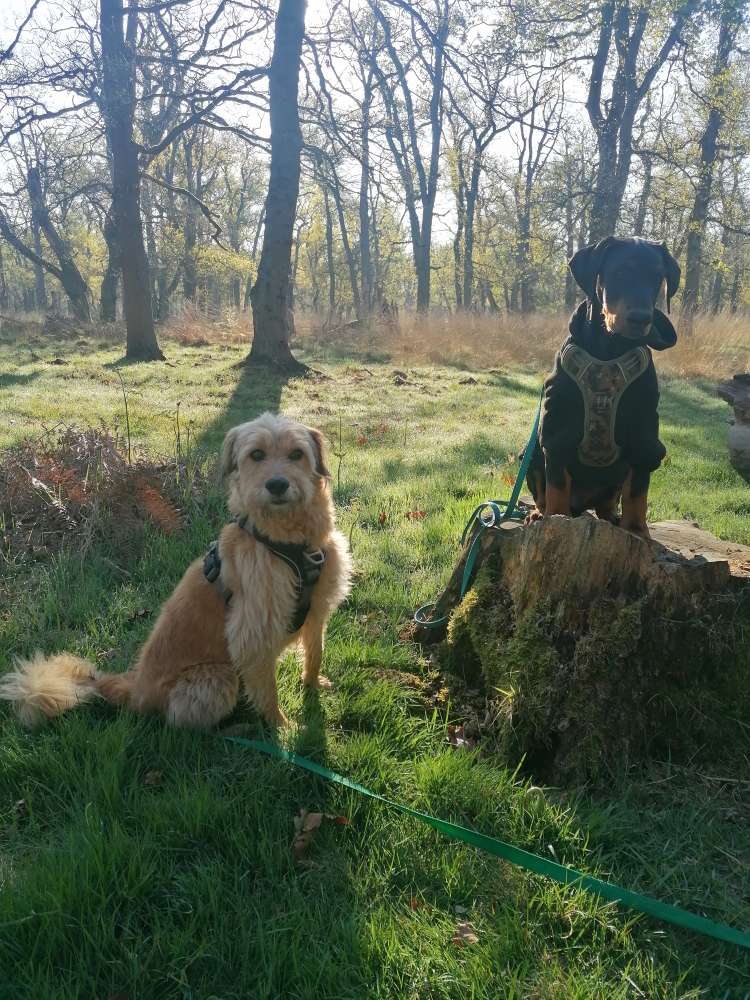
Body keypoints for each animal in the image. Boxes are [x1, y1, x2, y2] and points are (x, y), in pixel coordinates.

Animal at [0, 414, 353, 729]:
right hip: (217, 678)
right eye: (256, 454)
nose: (277, 484)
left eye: (297, 454)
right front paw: (281, 729)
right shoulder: (253, 634)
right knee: (181, 723)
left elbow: (315, 652)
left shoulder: (318, 610)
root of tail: (135, 687)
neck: (293, 544)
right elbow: (268, 692)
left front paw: (313, 685)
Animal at [525, 237, 680, 538]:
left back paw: (615, 518)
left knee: (611, 499)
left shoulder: (644, 426)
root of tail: (581, 505)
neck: (610, 350)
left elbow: (638, 488)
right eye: (619, 272)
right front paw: (557, 519)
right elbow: (557, 483)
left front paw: (637, 530)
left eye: (657, 278)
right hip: (532, 455)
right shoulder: (557, 422)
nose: (641, 319)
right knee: (543, 490)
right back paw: (539, 514)